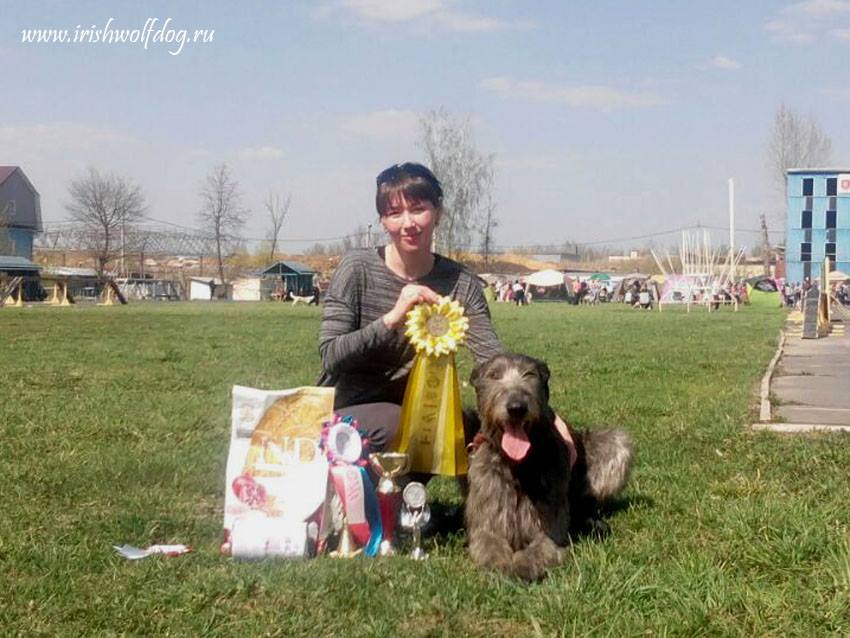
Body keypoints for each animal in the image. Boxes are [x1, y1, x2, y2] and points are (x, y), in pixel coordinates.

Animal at [460, 356, 632, 584]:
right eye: (494, 375)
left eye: (530, 374)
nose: (517, 407)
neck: (518, 465)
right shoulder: (487, 521)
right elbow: (488, 544)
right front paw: (503, 564)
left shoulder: (550, 526)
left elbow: (543, 546)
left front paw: (524, 564)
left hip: (615, 444)